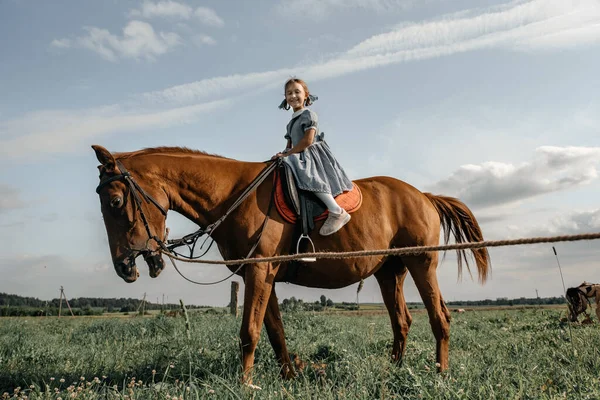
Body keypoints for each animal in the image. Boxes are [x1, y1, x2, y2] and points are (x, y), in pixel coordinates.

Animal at [92, 145, 488, 382]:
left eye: (115, 202)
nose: (124, 267)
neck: (235, 195)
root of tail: (424, 196)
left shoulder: (260, 271)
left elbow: (249, 333)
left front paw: (245, 384)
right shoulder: (261, 275)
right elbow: (274, 331)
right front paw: (288, 377)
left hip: (422, 264)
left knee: (440, 318)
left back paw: (440, 373)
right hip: (390, 272)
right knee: (402, 322)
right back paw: (393, 369)